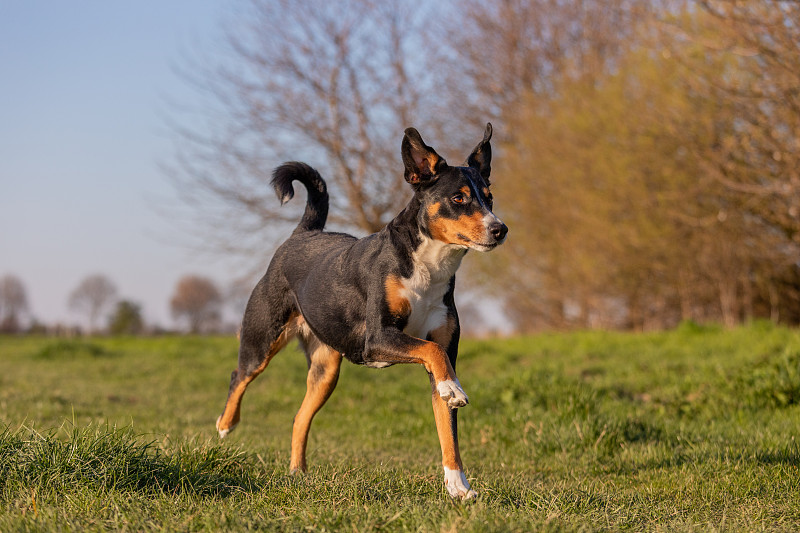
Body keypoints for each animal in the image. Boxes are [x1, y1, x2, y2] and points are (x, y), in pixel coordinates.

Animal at [216, 122, 510, 496]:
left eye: (489, 197)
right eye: (458, 198)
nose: (500, 229)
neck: (429, 268)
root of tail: (303, 234)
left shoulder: (441, 351)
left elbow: (449, 433)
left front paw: (458, 487)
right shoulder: (379, 338)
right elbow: (432, 352)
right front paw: (455, 389)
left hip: (325, 371)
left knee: (299, 418)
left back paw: (297, 474)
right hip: (262, 340)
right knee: (239, 376)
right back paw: (225, 424)